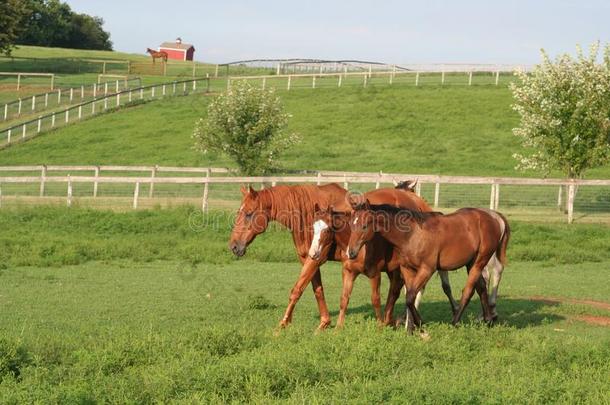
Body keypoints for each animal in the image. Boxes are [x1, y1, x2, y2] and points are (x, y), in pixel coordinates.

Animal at [346, 202, 508, 332]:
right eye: (351, 225)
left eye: (364, 226)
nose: (351, 252)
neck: (412, 235)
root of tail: (495, 218)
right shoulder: (408, 269)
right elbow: (409, 295)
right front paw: (410, 329)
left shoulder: (427, 270)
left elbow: (410, 297)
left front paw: (419, 324)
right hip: (471, 263)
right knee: (481, 287)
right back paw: (488, 320)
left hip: (480, 261)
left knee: (468, 290)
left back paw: (455, 322)